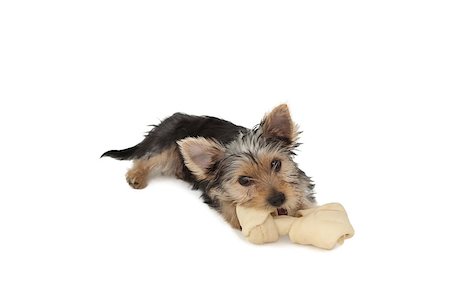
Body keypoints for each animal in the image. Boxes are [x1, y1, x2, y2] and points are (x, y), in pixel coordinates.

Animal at [101, 104, 314, 229]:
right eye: (244, 180)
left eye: (276, 164)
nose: (278, 199)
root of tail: (171, 118)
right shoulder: (214, 192)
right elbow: (228, 205)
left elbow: (305, 198)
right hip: (166, 143)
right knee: (146, 158)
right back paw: (136, 176)